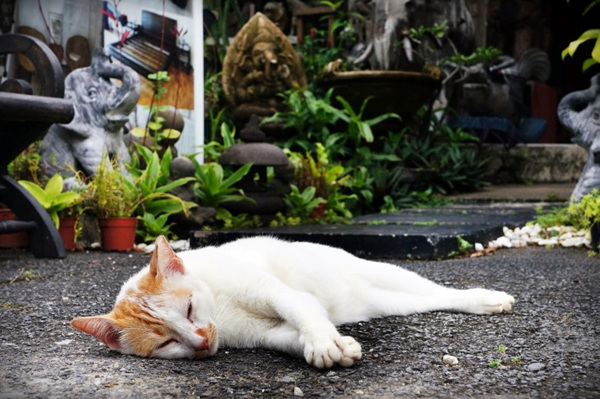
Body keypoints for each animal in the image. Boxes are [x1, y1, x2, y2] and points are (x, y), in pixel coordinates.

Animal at [69, 236, 510, 370]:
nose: (200, 341)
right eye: (166, 343)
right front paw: (331, 346)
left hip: (386, 274)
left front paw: (324, 340)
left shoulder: (273, 293)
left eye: (190, 309)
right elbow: (292, 336)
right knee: (424, 300)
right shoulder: (264, 334)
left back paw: (488, 299)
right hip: (386, 302)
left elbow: (300, 307)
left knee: (442, 292)